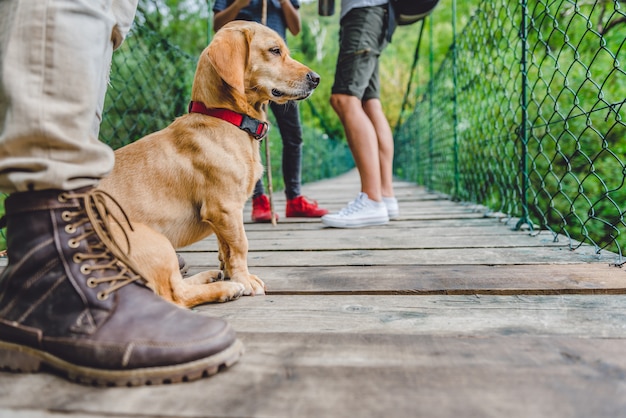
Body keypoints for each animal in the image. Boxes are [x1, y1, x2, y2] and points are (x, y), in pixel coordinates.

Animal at [101, 20, 322, 306]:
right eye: (274, 50)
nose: (316, 78)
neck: (225, 119)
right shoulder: (225, 208)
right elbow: (240, 245)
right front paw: (244, 280)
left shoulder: (223, 217)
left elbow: (224, 249)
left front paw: (230, 273)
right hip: (154, 241)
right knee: (176, 296)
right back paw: (226, 289)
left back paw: (210, 277)